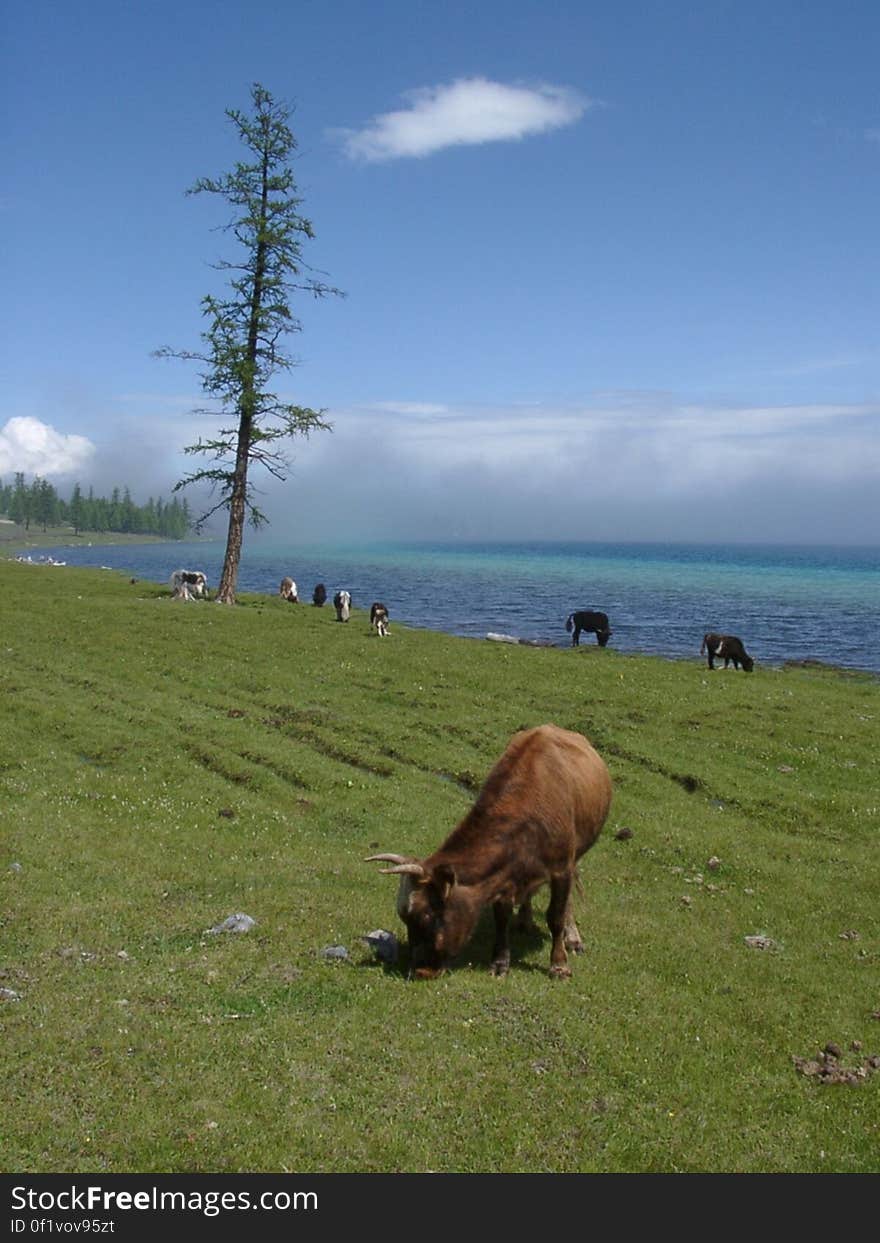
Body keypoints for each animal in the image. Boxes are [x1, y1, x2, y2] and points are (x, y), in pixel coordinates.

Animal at [365, 720, 611, 979]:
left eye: (427, 915)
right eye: (405, 919)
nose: (419, 971)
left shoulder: (561, 868)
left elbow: (555, 915)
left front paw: (559, 964)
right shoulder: (505, 875)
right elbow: (502, 916)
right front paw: (500, 962)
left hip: (576, 854)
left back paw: (572, 938)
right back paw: (525, 920)